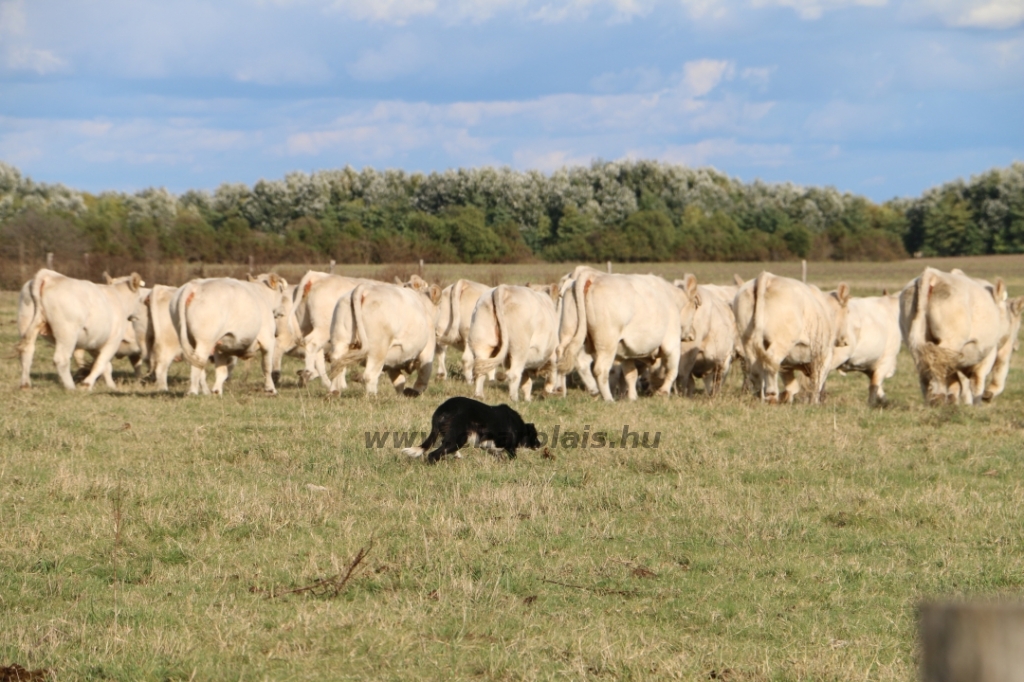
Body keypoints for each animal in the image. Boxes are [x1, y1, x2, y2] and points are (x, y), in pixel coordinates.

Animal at [401, 395, 544, 458]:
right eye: (535, 436)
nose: (540, 444)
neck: (518, 425)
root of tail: (442, 409)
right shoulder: (509, 446)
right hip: (458, 439)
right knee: (433, 455)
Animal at [557, 270, 700, 399]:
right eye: (695, 307)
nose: (693, 333)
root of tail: (593, 276)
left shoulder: (626, 351)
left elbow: (631, 374)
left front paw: (632, 398)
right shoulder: (672, 344)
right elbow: (673, 371)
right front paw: (663, 391)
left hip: (569, 333)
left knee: (563, 357)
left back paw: (562, 391)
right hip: (606, 344)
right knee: (600, 369)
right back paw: (608, 399)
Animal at [737, 270, 847, 401]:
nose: (845, 341)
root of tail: (767, 277)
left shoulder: (787, 364)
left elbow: (792, 386)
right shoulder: (824, 354)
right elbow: (816, 383)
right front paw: (814, 402)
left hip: (747, 339)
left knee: (756, 366)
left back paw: (760, 395)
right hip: (782, 341)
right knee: (771, 361)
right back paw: (771, 395)